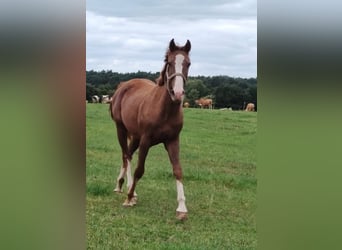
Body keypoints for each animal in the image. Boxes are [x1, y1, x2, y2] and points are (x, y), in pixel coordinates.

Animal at [109, 38, 191, 221]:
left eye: (188, 63)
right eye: (169, 62)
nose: (178, 93)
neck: (164, 110)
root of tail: (123, 86)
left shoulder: (173, 141)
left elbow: (178, 170)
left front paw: (182, 208)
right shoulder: (146, 140)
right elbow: (140, 170)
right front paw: (129, 198)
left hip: (135, 136)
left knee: (128, 154)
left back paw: (121, 185)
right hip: (121, 129)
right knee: (126, 155)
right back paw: (128, 190)